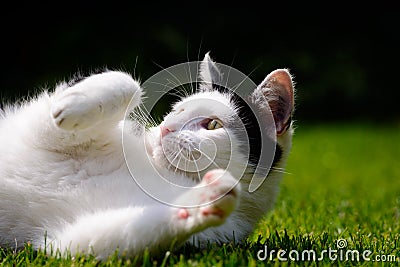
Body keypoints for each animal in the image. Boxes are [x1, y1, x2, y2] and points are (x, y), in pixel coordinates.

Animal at [0, 53, 294, 260]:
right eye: (177, 109)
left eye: (212, 124)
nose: (166, 127)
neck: (163, 173)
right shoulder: (36, 128)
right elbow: (128, 82)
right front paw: (73, 103)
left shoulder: (70, 240)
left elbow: (106, 241)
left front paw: (204, 201)